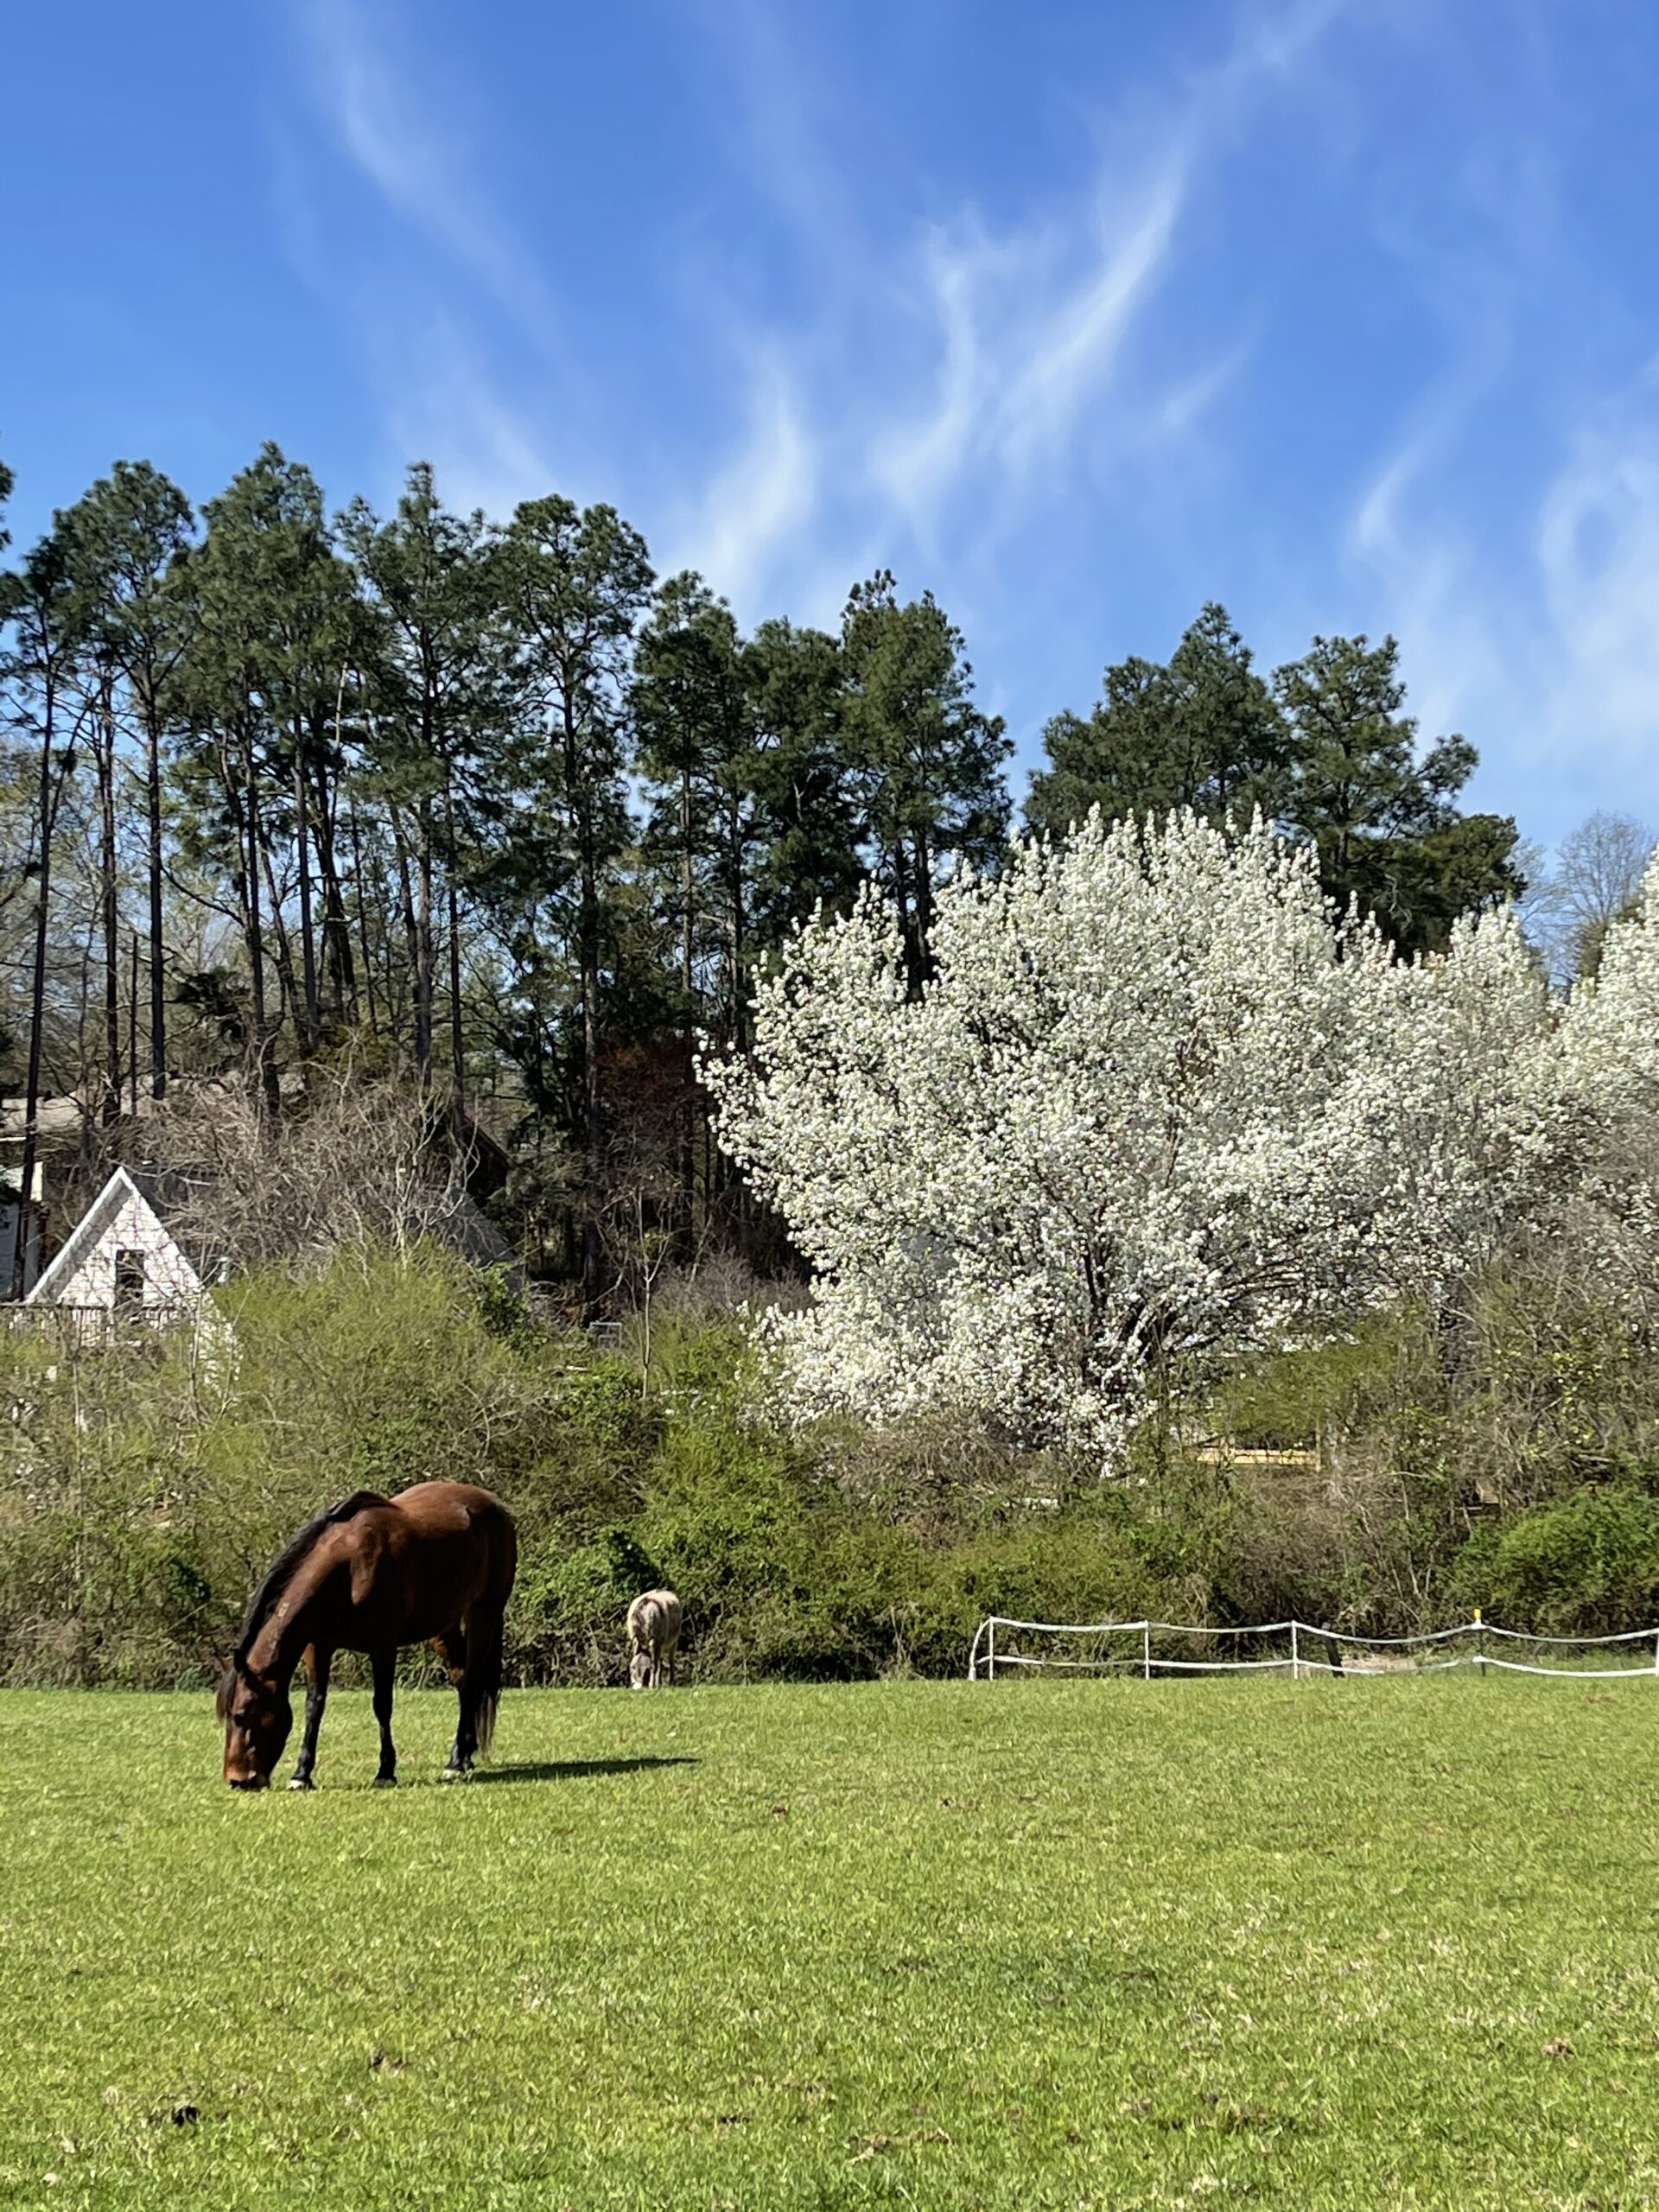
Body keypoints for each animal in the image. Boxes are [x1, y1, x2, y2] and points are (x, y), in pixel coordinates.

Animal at [214, 1478, 518, 1787]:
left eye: (241, 1715)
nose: (237, 1780)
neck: (350, 1568)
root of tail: (493, 1505)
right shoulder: (318, 1647)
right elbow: (314, 1706)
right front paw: (301, 1774)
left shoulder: (382, 1646)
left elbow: (382, 1705)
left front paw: (386, 1771)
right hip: (444, 1626)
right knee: (462, 1677)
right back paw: (465, 1756)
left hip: (483, 1614)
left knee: (472, 1680)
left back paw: (456, 1762)